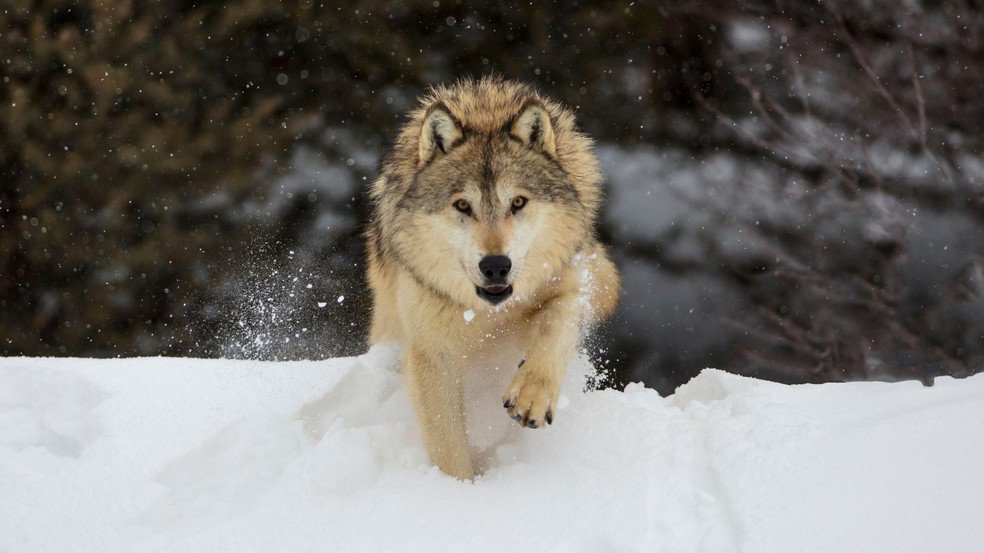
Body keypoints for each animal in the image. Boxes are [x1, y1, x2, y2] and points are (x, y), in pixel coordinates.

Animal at [365, 77, 619, 480]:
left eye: (517, 202)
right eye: (462, 205)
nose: (496, 266)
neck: (486, 315)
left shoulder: (571, 284)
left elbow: (556, 326)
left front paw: (532, 395)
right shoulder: (433, 355)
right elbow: (449, 446)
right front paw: (460, 490)